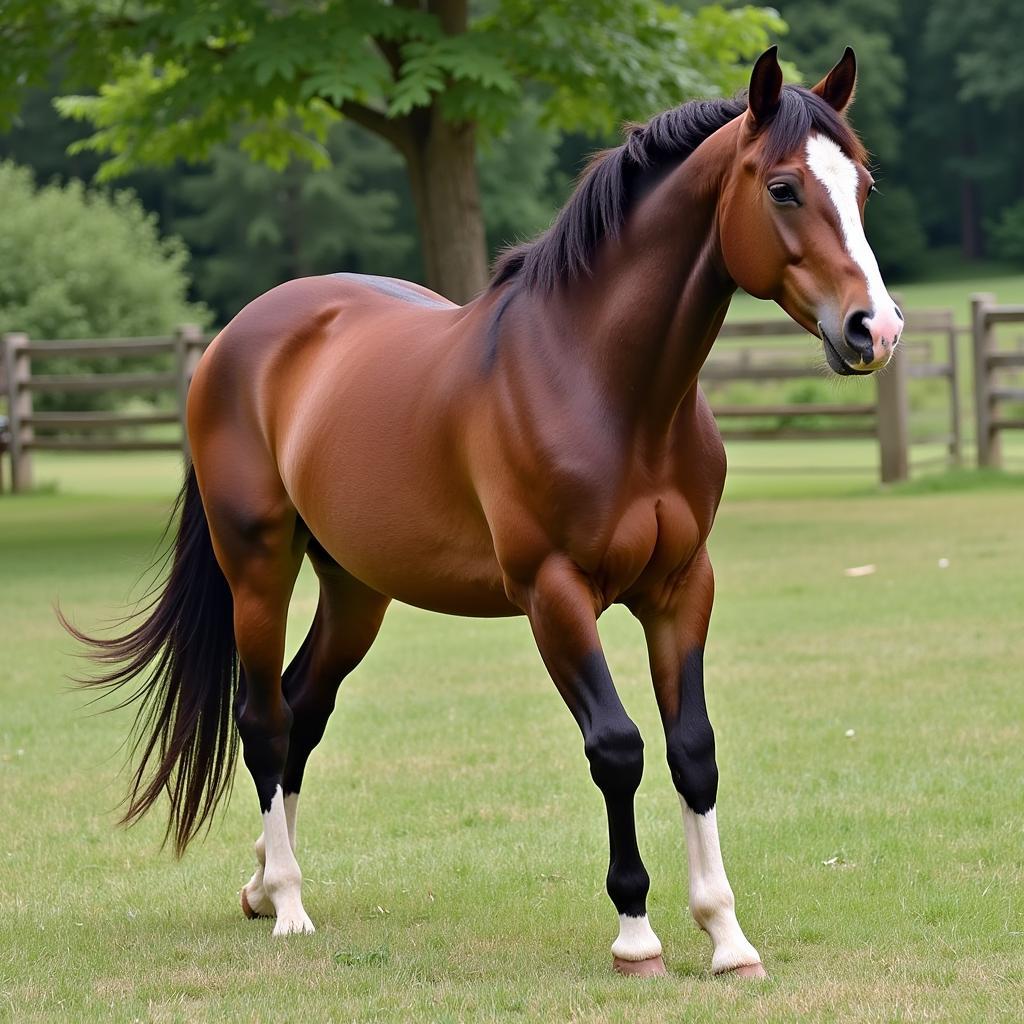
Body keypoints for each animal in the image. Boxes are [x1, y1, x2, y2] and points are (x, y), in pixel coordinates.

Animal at [68, 48, 901, 974]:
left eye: (862, 186)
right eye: (785, 188)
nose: (874, 329)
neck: (603, 386)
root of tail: (232, 341)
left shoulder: (682, 588)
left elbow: (694, 751)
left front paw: (725, 935)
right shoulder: (554, 593)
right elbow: (617, 748)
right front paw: (636, 934)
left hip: (356, 588)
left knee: (303, 711)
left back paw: (259, 881)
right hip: (258, 569)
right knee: (264, 719)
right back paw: (286, 901)